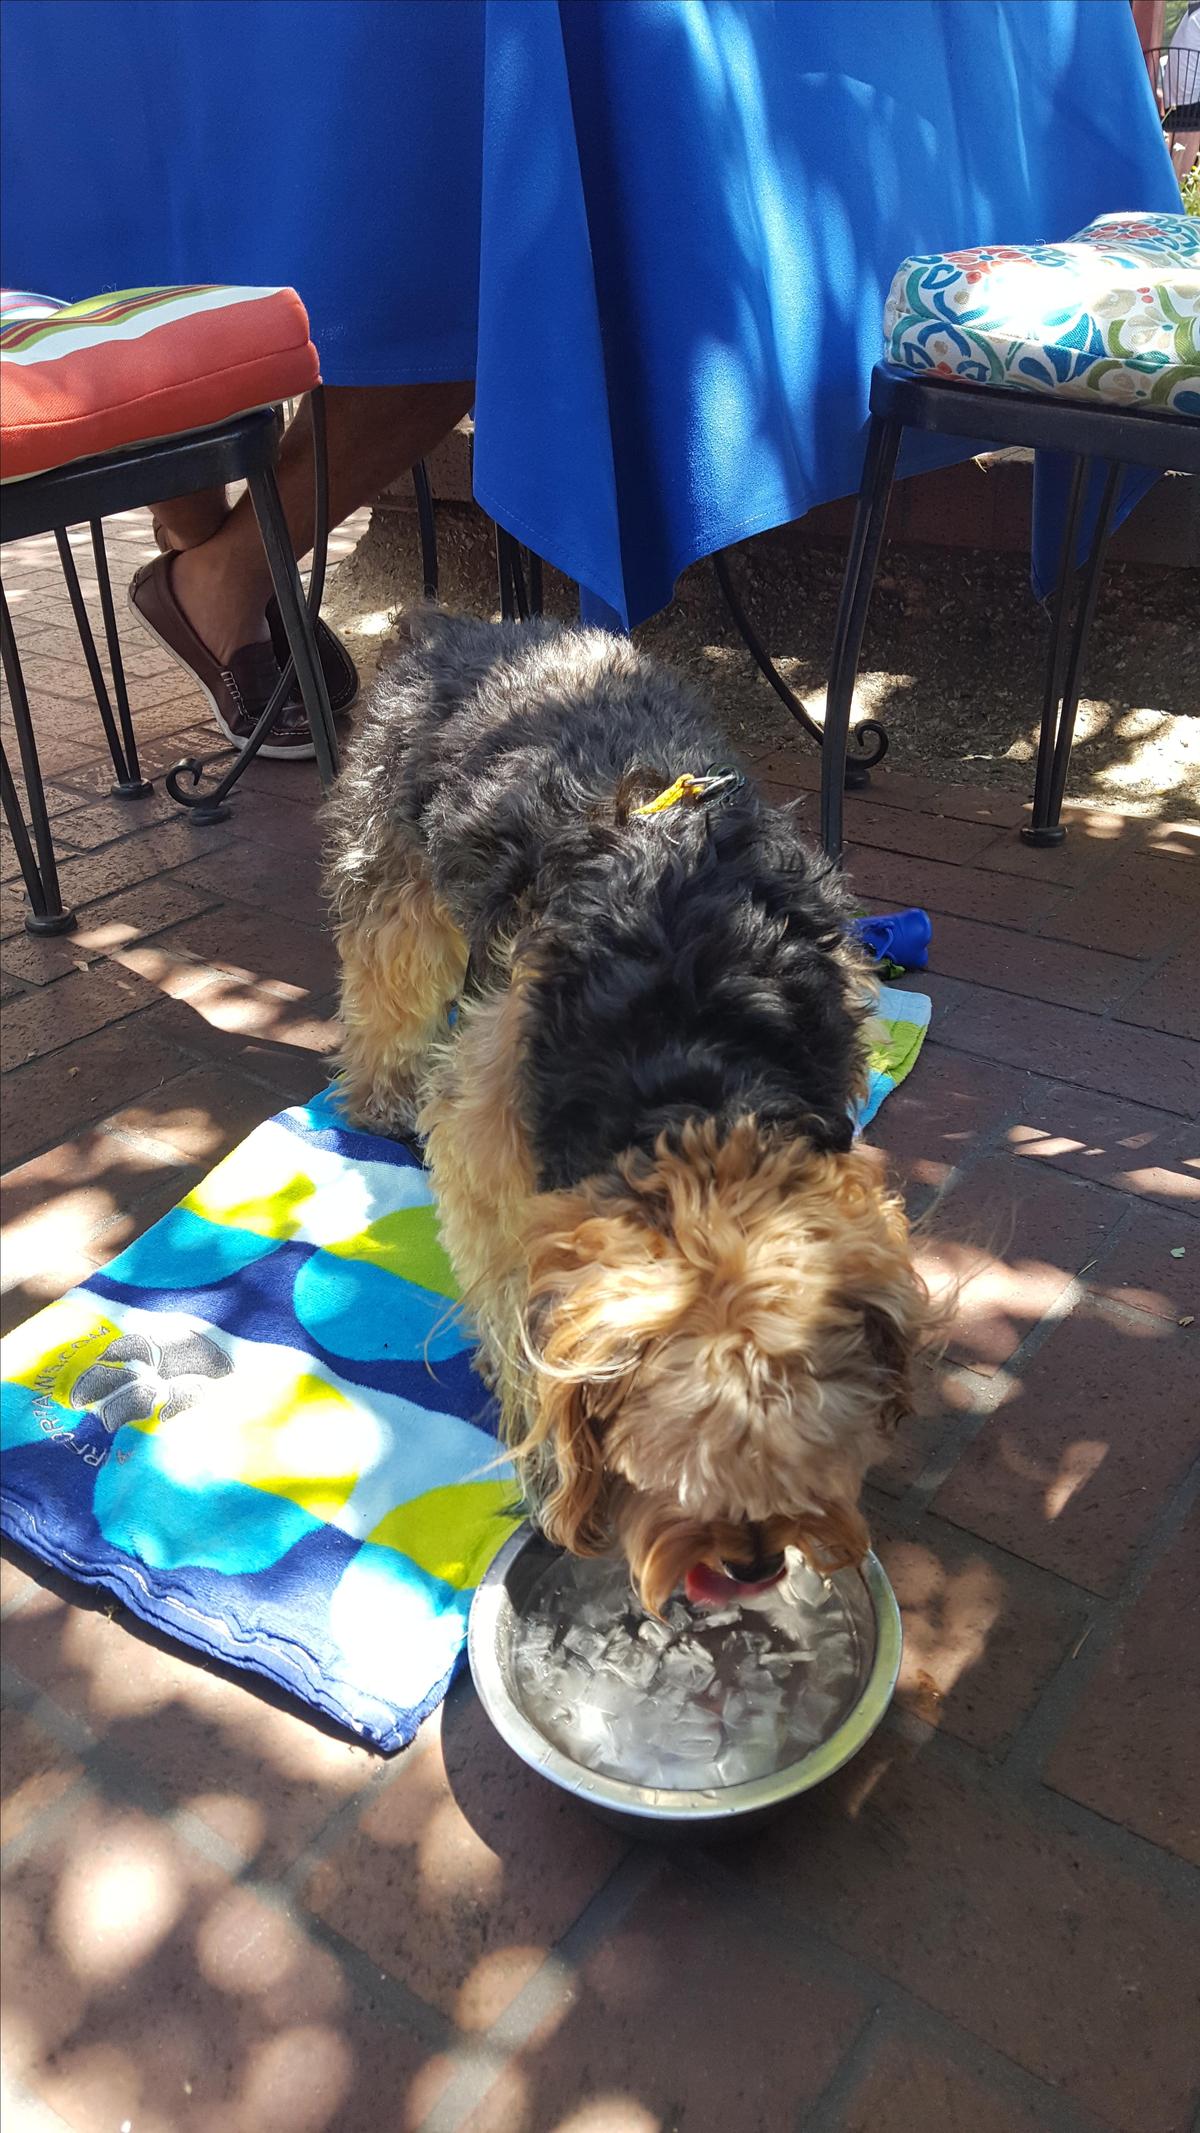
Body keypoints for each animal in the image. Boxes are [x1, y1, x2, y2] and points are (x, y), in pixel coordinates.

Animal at [323, 610, 925, 1604]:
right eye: (670, 1466)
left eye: (812, 1453)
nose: (752, 1565)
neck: (695, 1069)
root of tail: (457, 624)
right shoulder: (493, 1140)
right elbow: (510, 1300)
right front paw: (542, 1460)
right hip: (397, 859)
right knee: (386, 972)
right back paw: (376, 1094)